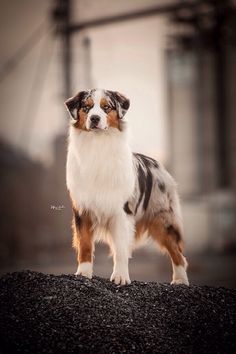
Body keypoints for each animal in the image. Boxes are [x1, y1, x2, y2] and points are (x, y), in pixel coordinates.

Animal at [64, 88, 188, 284]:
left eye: (106, 107)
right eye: (86, 107)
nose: (94, 118)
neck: (98, 145)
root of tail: (159, 165)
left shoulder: (122, 212)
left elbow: (121, 250)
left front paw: (120, 277)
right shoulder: (82, 210)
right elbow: (84, 245)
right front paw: (83, 273)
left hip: (162, 219)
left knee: (178, 253)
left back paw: (180, 281)